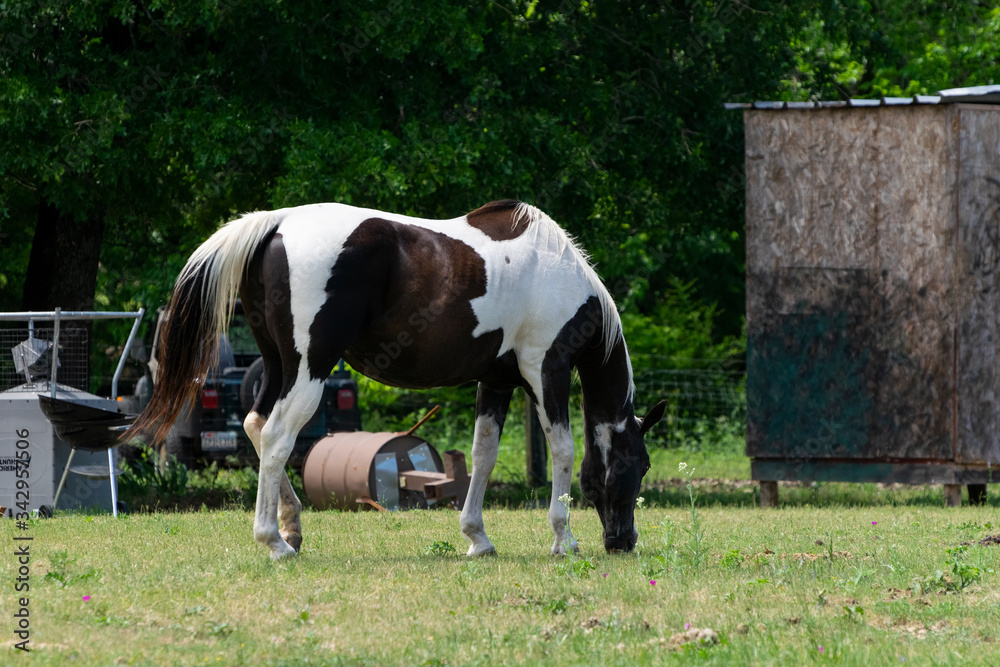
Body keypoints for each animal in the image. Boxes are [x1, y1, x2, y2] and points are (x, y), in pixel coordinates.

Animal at [131, 201, 664, 560]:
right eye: (640, 463)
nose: (623, 541)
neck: (557, 271)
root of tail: (278, 222)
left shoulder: (496, 381)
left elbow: (483, 454)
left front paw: (477, 538)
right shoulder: (544, 370)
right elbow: (564, 450)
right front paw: (563, 538)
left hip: (280, 365)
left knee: (257, 427)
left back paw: (292, 529)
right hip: (310, 368)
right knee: (280, 436)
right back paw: (274, 543)